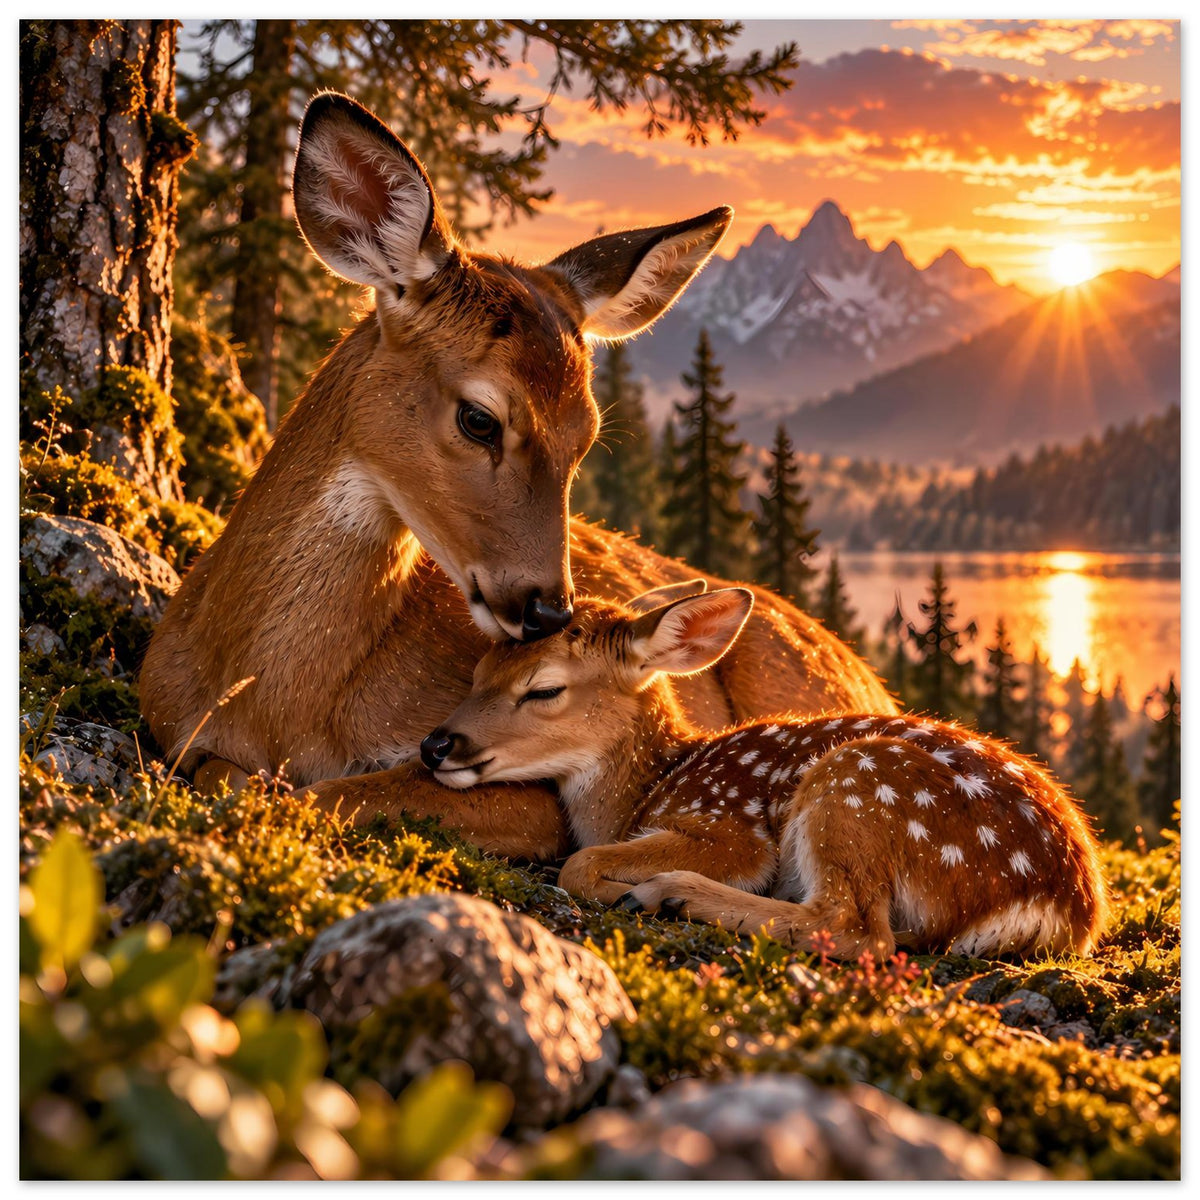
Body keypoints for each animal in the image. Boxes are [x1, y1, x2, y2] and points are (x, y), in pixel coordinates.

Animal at [139, 91, 896, 864]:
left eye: (586, 436)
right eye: (479, 418)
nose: (549, 610)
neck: (270, 702)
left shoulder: (530, 795)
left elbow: (329, 793)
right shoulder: (167, 721)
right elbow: (231, 775)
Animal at [421, 583, 1108, 959]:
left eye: (544, 689)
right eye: (479, 670)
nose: (435, 745)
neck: (647, 787)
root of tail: (1065, 907)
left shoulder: (730, 827)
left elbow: (580, 862)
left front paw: (626, 886)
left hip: (856, 785)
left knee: (855, 928)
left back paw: (671, 894)